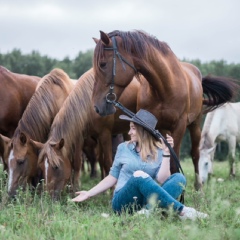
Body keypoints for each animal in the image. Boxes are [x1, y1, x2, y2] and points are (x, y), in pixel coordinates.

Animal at [36, 67, 140, 199]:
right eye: (41, 167)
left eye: (56, 167)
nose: (48, 197)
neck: (89, 105)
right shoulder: (80, 136)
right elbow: (77, 162)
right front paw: (74, 190)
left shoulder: (105, 134)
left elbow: (108, 163)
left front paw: (111, 192)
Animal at [91, 30, 238, 190]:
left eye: (103, 64)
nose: (96, 106)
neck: (164, 88)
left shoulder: (179, 128)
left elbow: (174, 164)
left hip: (195, 125)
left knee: (195, 154)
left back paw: (198, 186)